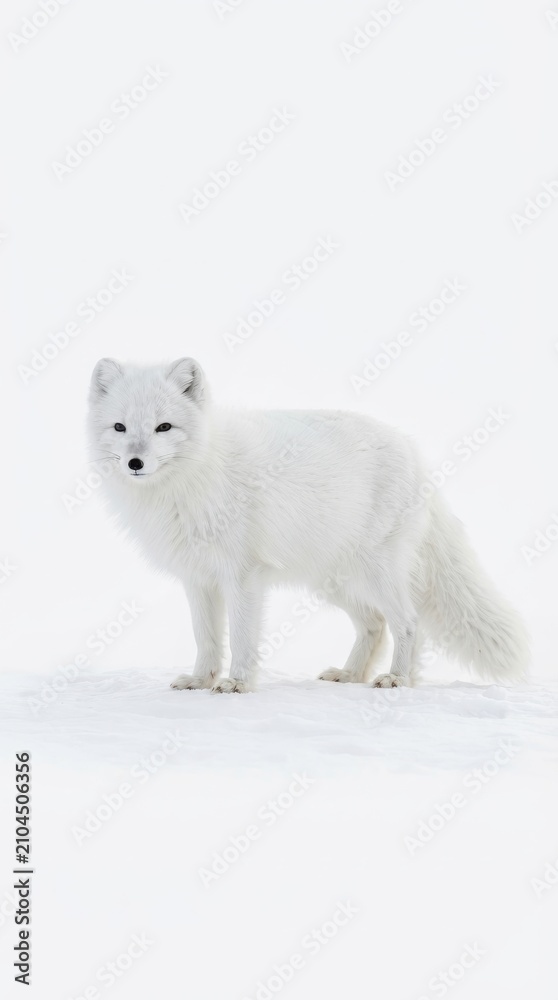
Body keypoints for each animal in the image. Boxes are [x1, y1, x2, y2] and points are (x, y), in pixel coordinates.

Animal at [87, 357, 529, 693]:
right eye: (120, 427)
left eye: (163, 427)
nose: (135, 463)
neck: (192, 478)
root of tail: (412, 450)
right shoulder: (197, 578)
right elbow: (206, 637)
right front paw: (200, 680)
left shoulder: (242, 575)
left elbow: (242, 636)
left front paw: (237, 683)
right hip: (333, 580)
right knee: (374, 625)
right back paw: (350, 674)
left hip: (376, 572)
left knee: (406, 622)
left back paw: (396, 679)